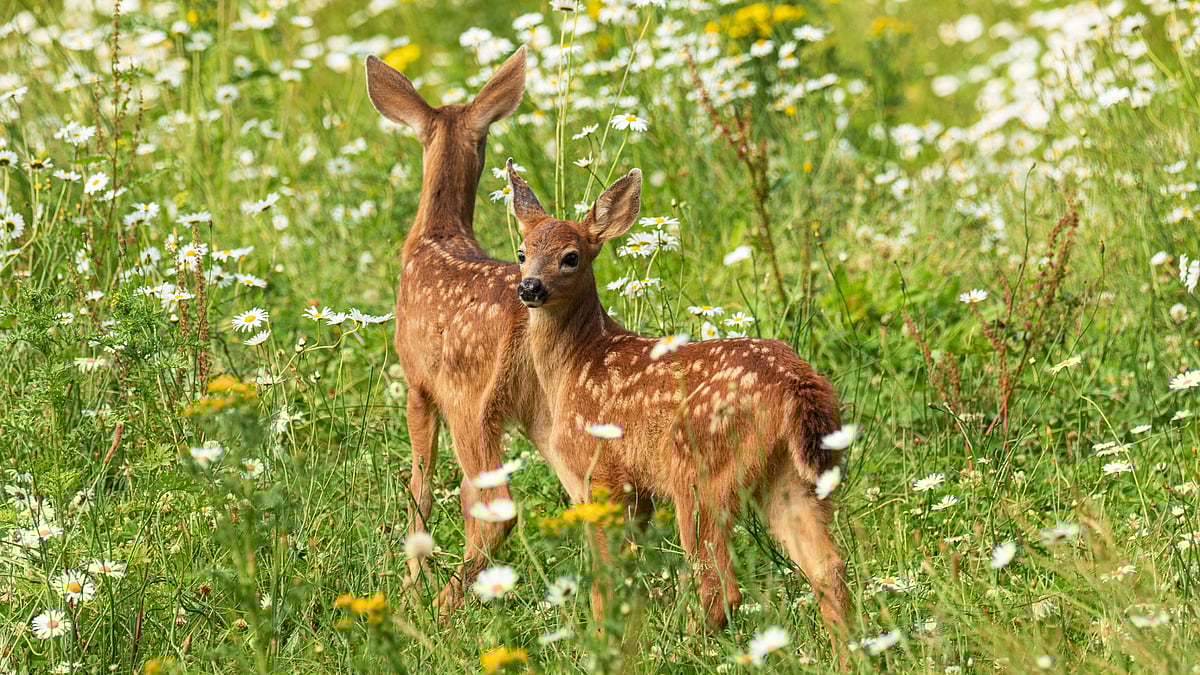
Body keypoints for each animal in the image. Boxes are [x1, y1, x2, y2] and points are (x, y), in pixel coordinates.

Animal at [364, 48, 551, 618]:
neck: (438, 234)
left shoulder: (418, 383)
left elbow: (420, 486)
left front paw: (410, 585)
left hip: (471, 401)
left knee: (496, 507)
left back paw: (443, 606)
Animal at [505, 159, 850, 652]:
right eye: (521, 252)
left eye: (571, 256)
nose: (530, 287)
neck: (578, 363)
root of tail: (797, 384)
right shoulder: (638, 491)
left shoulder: (600, 476)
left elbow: (606, 579)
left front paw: (603, 643)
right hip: (793, 478)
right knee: (827, 567)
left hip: (699, 471)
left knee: (720, 583)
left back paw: (686, 648)